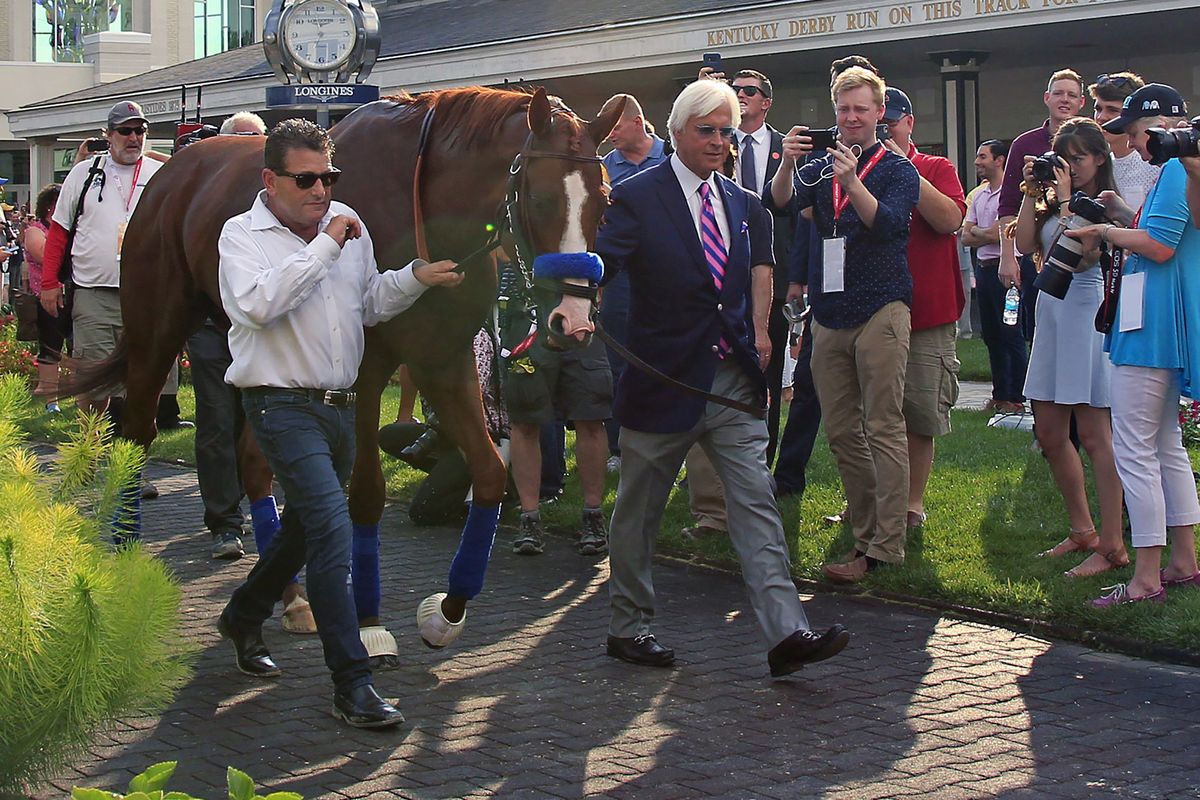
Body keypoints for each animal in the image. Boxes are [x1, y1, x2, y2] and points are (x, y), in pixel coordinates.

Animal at [68, 86, 619, 652]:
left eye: (605, 201)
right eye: (540, 199)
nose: (574, 318)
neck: (422, 205)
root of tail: (169, 171)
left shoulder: (444, 357)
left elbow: (488, 473)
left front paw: (447, 611)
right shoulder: (366, 371)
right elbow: (365, 496)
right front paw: (370, 625)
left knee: (254, 462)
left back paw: (291, 596)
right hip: (156, 328)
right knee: (136, 432)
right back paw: (125, 553)